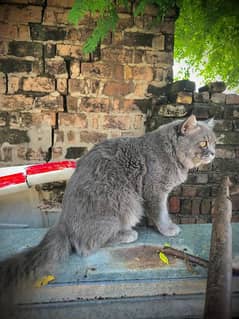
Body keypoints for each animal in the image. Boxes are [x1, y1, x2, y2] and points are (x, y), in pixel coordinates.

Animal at [0, 115, 216, 300]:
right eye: (203, 143)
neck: (169, 152)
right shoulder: (155, 191)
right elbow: (161, 213)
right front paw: (168, 229)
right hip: (124, 202)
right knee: (87, 245)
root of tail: (63, 221)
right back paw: (127, 234)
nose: (213, 153)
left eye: (214, 143)